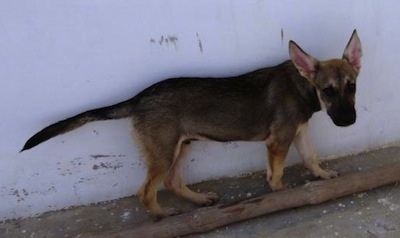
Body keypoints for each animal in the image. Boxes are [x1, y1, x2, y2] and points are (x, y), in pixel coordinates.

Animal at [21, 29, 362, 218]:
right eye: (328, 90)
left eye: (352, 86)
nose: (349, 121)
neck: (302, 86)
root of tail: (138, 98)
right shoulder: (279, 141)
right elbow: (275, 176)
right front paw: (281, 193)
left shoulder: (299, 132)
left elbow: (311, 158)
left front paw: (323, 175)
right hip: (164, 152)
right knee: (146, 191)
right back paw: (162, 216)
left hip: (181, 145)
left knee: (172, 181)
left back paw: (199, 200)